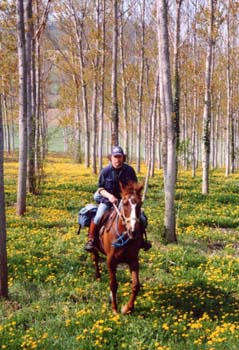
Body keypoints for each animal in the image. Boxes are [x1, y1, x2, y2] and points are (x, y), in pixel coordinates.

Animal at [91, 180, 144, 314]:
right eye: (124, 204)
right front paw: (115, 309)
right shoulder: (111, 260)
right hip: (94, 248)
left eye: (140, 204)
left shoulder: (133, 260)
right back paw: (97, 276)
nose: (133, 231)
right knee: (95, 259)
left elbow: (136, 285)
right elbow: (113, 284)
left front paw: (127, 308)